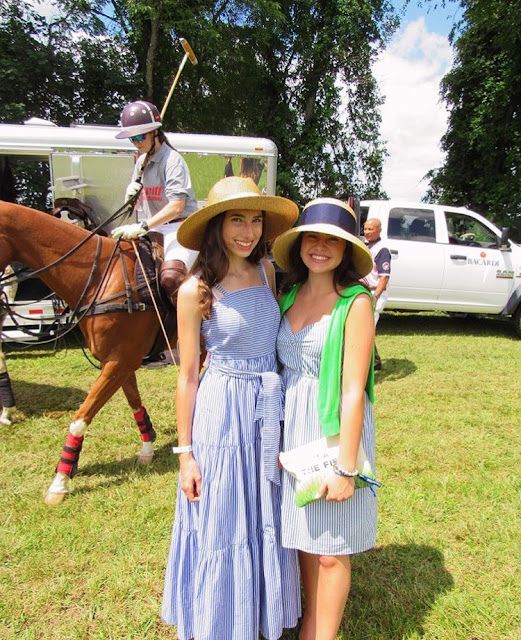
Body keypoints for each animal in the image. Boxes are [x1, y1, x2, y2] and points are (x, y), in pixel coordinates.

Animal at [0, 201, 170, 505]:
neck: (101, 276)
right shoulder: (119, 362)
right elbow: (135, 403)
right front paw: (147, 448)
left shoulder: (119, 361)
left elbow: (80, 418)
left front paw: (60, 481)